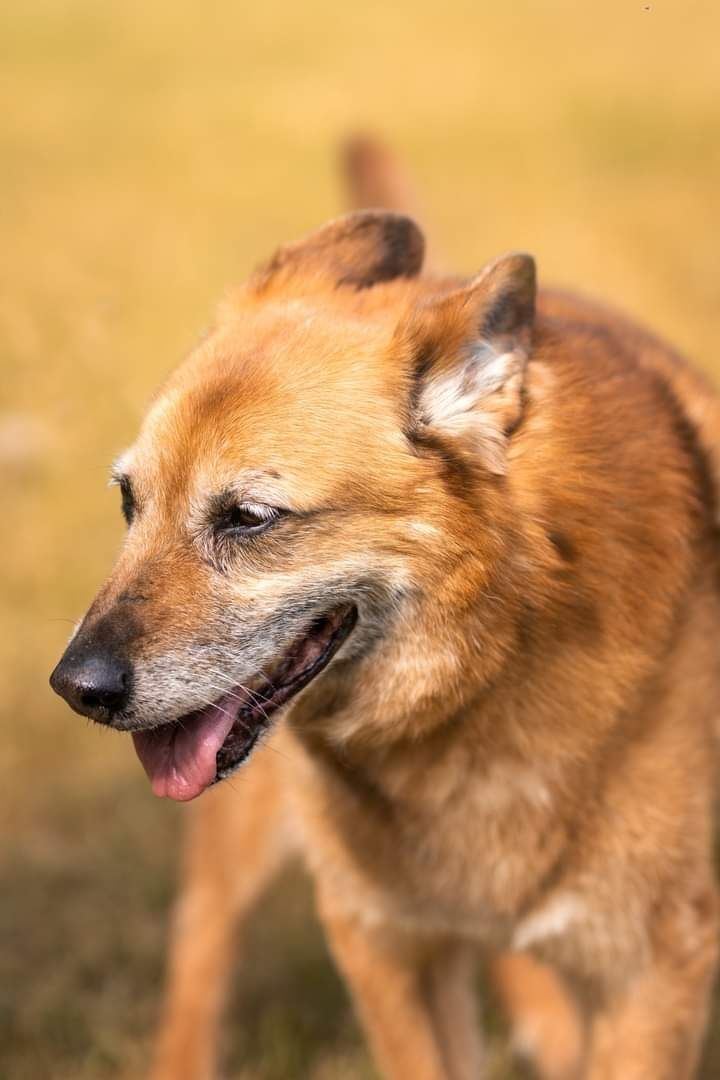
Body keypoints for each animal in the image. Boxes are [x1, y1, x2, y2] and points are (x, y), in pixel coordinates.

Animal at [50, 137, 720, 1080]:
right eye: (127, 501)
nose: (76, 688)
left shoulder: (652, 969)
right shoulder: (381, 943)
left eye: (248, 517)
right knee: (201, 944)